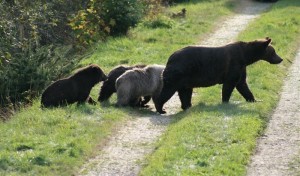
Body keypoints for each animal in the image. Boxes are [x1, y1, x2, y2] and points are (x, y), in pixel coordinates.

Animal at [155, 37, 284, 113]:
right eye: (273, 51)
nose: (280, 59)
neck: (245, 57)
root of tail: (169, 58)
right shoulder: (233, 65)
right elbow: (229, 85)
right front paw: (225, 102)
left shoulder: (241, 68)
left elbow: (242, 85)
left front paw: (253, 99)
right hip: (177, 74)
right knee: (167, 91)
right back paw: (161, 109)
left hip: (185, 78)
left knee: (185, 92)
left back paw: (187, 106)